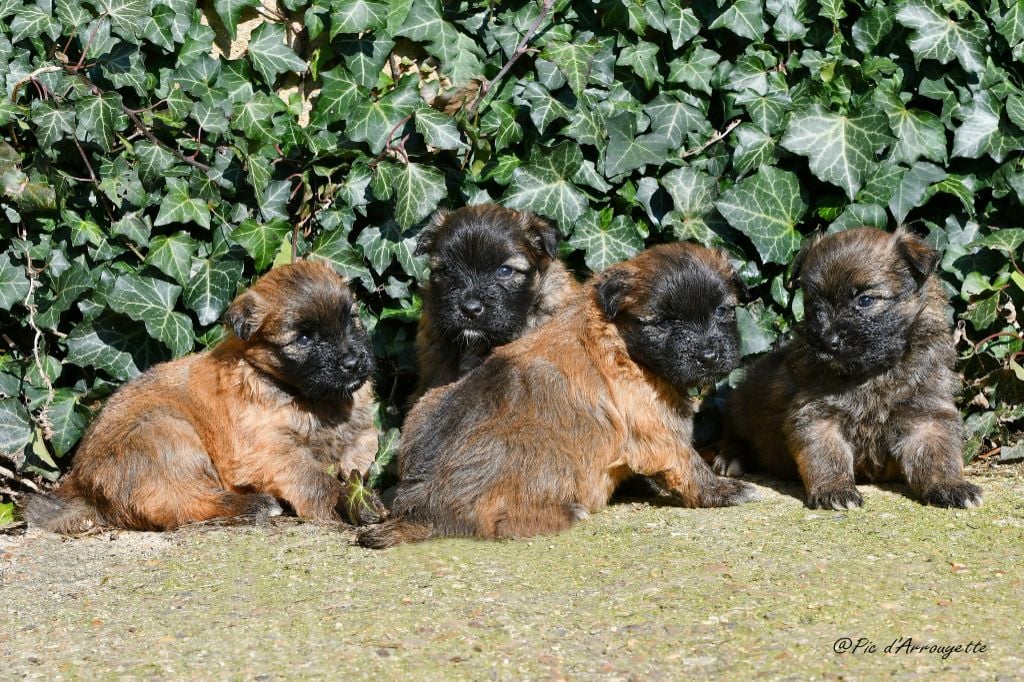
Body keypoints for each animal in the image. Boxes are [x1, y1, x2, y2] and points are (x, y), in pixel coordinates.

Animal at [24, 260, 385, 532]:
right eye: (304, 338)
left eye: (351, 318)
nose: (353, 363)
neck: (310, 397)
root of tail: (82, 484)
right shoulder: (272, 451)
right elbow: (313, 479)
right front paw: (346, 502)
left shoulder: (360, 436)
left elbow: (358, 460)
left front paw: (361, 491)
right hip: (166, 434)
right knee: (181, 502)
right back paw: (257, 505)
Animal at [358, 241, 753, 544]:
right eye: (666, 322)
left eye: (723, 311)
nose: (708, 355)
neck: (624, 343)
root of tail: (422, 505)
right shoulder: (654, 426)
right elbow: (687, 462)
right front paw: (722, 490)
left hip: (429, 400)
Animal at [724, 225, 978, 507]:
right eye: (813, 303)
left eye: (865, 300)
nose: (828, 340)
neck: (873, 374)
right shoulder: (816, 414)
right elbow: (827, 455)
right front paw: (834, 490)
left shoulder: (928, 413)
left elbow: (936, 454)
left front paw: (950, 486)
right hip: (740, 404)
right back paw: (729, 459)